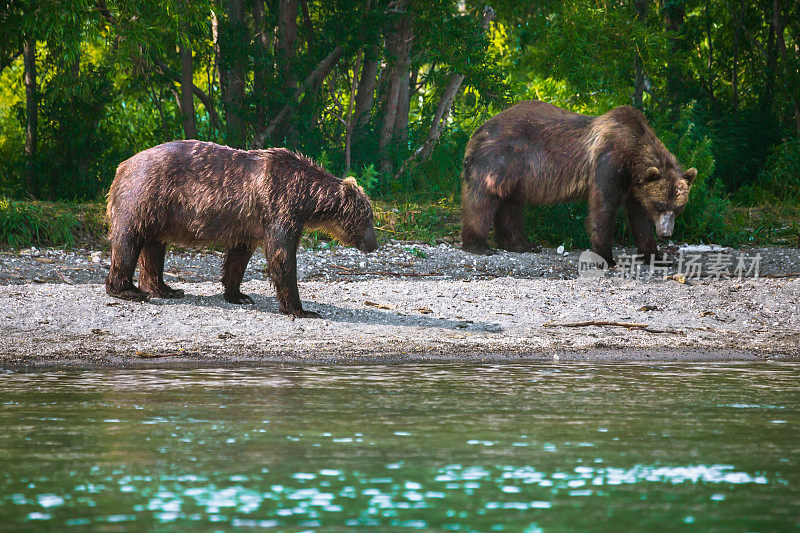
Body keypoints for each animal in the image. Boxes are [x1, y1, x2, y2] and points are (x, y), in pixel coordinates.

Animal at [106, 139, 378, 318]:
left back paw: (165, 288)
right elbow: (282, 257)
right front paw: (301, 309)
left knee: (153, 246)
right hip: (143, 195)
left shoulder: (248, 223)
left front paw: (239, 295)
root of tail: (122, 166)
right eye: (368, 217)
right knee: (128, 241)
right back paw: (128, 290)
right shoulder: (280, 208)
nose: (374, 244)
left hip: (159, 212)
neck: (305, 198)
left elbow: (238, 257)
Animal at [460, 98, 696, 264]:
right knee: (483, 199)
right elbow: (603, 207)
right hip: (499, 158)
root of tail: (479, 130)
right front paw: (606, 257)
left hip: (516, 174)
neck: (633, 154)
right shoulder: (609, 162)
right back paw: (479, 245)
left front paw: (656, 256)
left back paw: (522, 244)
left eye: (677, 208)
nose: (666, 233)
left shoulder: (636, 187)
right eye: (660, 205)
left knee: (512, 205)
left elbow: (640, 219)